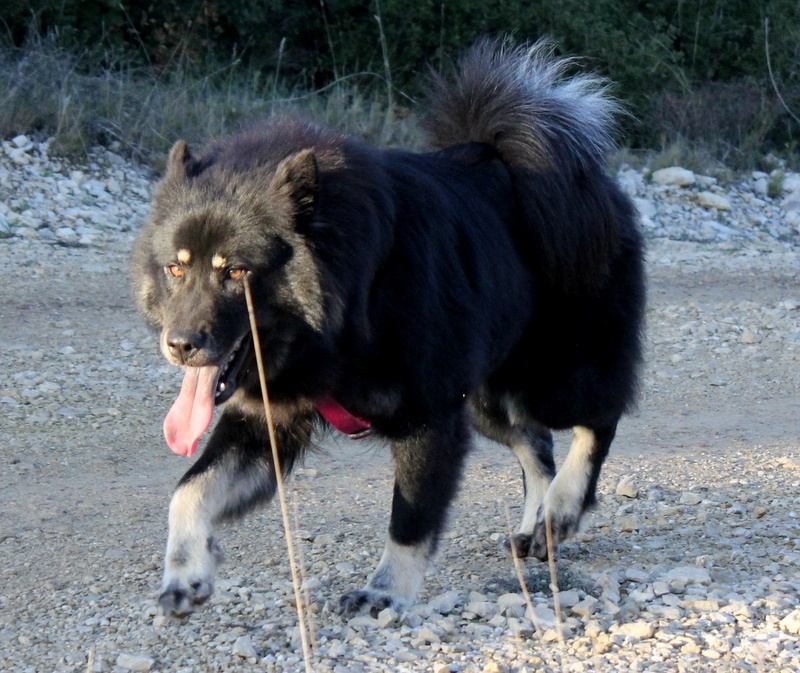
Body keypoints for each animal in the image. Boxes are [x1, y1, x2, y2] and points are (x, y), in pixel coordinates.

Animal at [130, 39, 644, 616]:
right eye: (176, 269)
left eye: (236, 272)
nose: (179, 345)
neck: (350, 310)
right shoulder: (269, 420)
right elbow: (189, 489)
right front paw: (185, 574)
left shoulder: (429, 417)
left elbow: (410, 518)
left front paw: (385, 591)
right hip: (486, 398)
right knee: (536, 444)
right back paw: (538, 528)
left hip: (550, 374)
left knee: (597, 419)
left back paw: (562, 509)